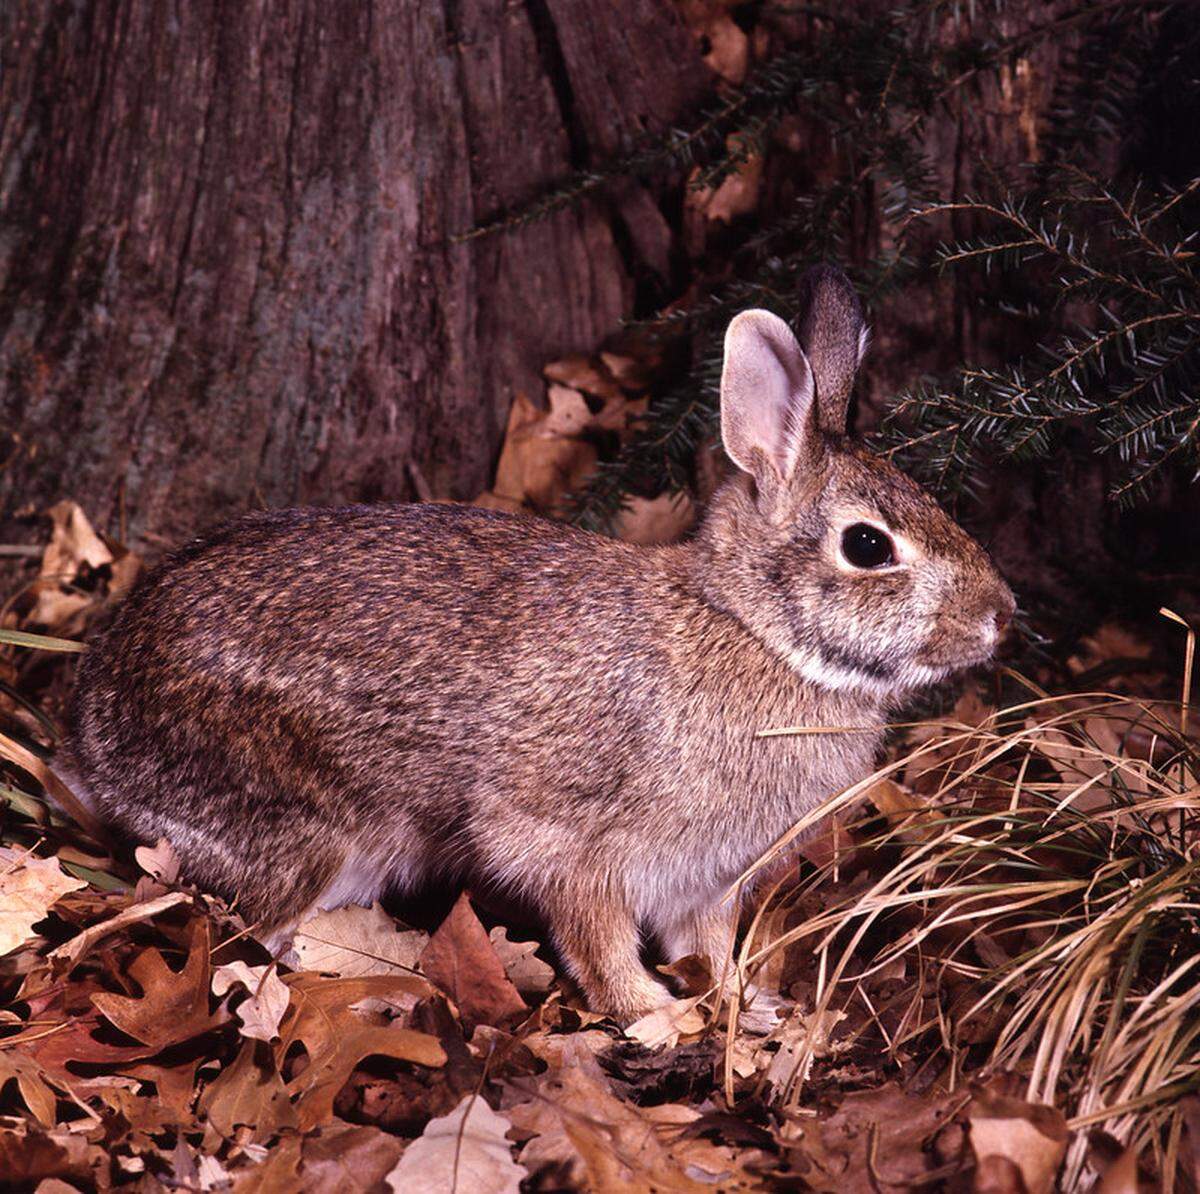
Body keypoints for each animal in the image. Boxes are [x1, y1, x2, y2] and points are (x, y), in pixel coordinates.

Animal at [66, 265, 1015, 1021]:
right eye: (869, 546)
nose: (1002, 613)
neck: (753, 632)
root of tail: (93, 734)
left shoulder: (706, 882)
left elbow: (710, 948)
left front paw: (750, 1008)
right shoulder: (578, 847)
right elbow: (595, 937)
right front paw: (651, 1014)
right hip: (301, 828)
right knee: (251, 930)